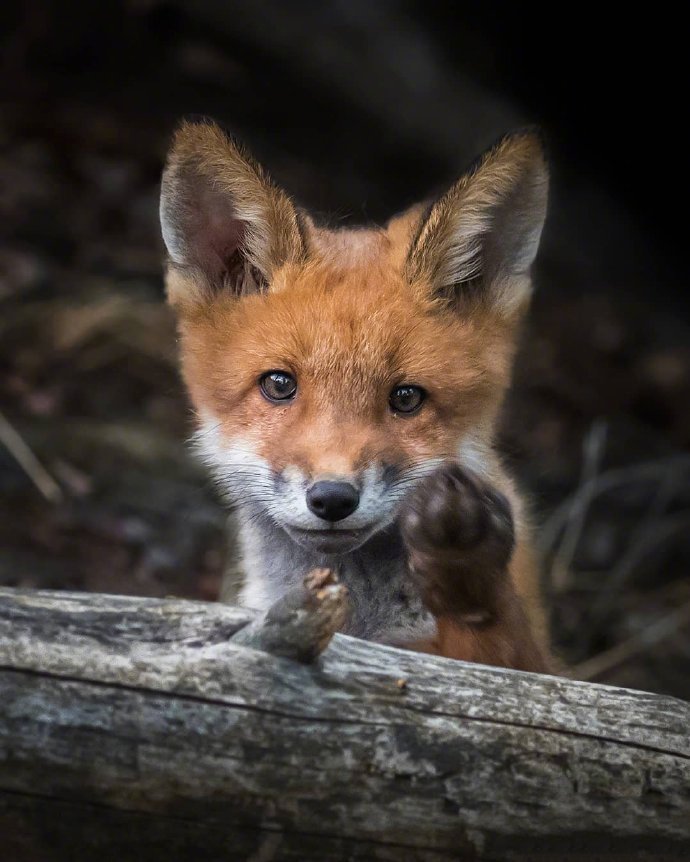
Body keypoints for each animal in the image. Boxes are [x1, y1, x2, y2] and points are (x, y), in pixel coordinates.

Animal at [159, 120, 552, 676]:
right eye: (279, 385)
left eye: (406, 397)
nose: (332, 499)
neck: (360, 618)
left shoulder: (541, 665)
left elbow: (496, 645)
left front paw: (466, 571)